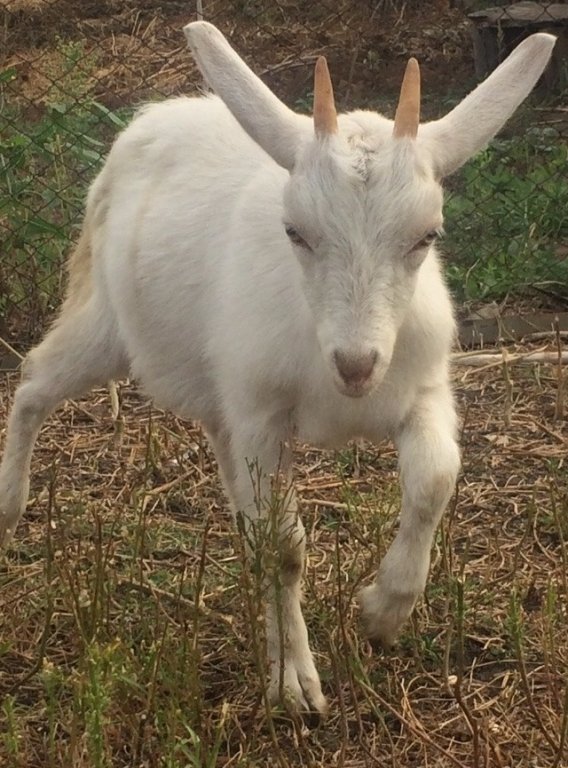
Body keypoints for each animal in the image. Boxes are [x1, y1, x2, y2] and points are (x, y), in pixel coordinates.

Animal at [0, 22, 556, 712]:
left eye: (427, 235)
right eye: (295, 232)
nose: (355, 365)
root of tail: (150, 120)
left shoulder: (420, 389)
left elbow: (434, 480)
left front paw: (382, 613)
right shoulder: (264, 419)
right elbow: (286, 548)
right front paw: (297, 687)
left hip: (219, 397)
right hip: (108, 330)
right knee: (33, 380)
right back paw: (9, 507)